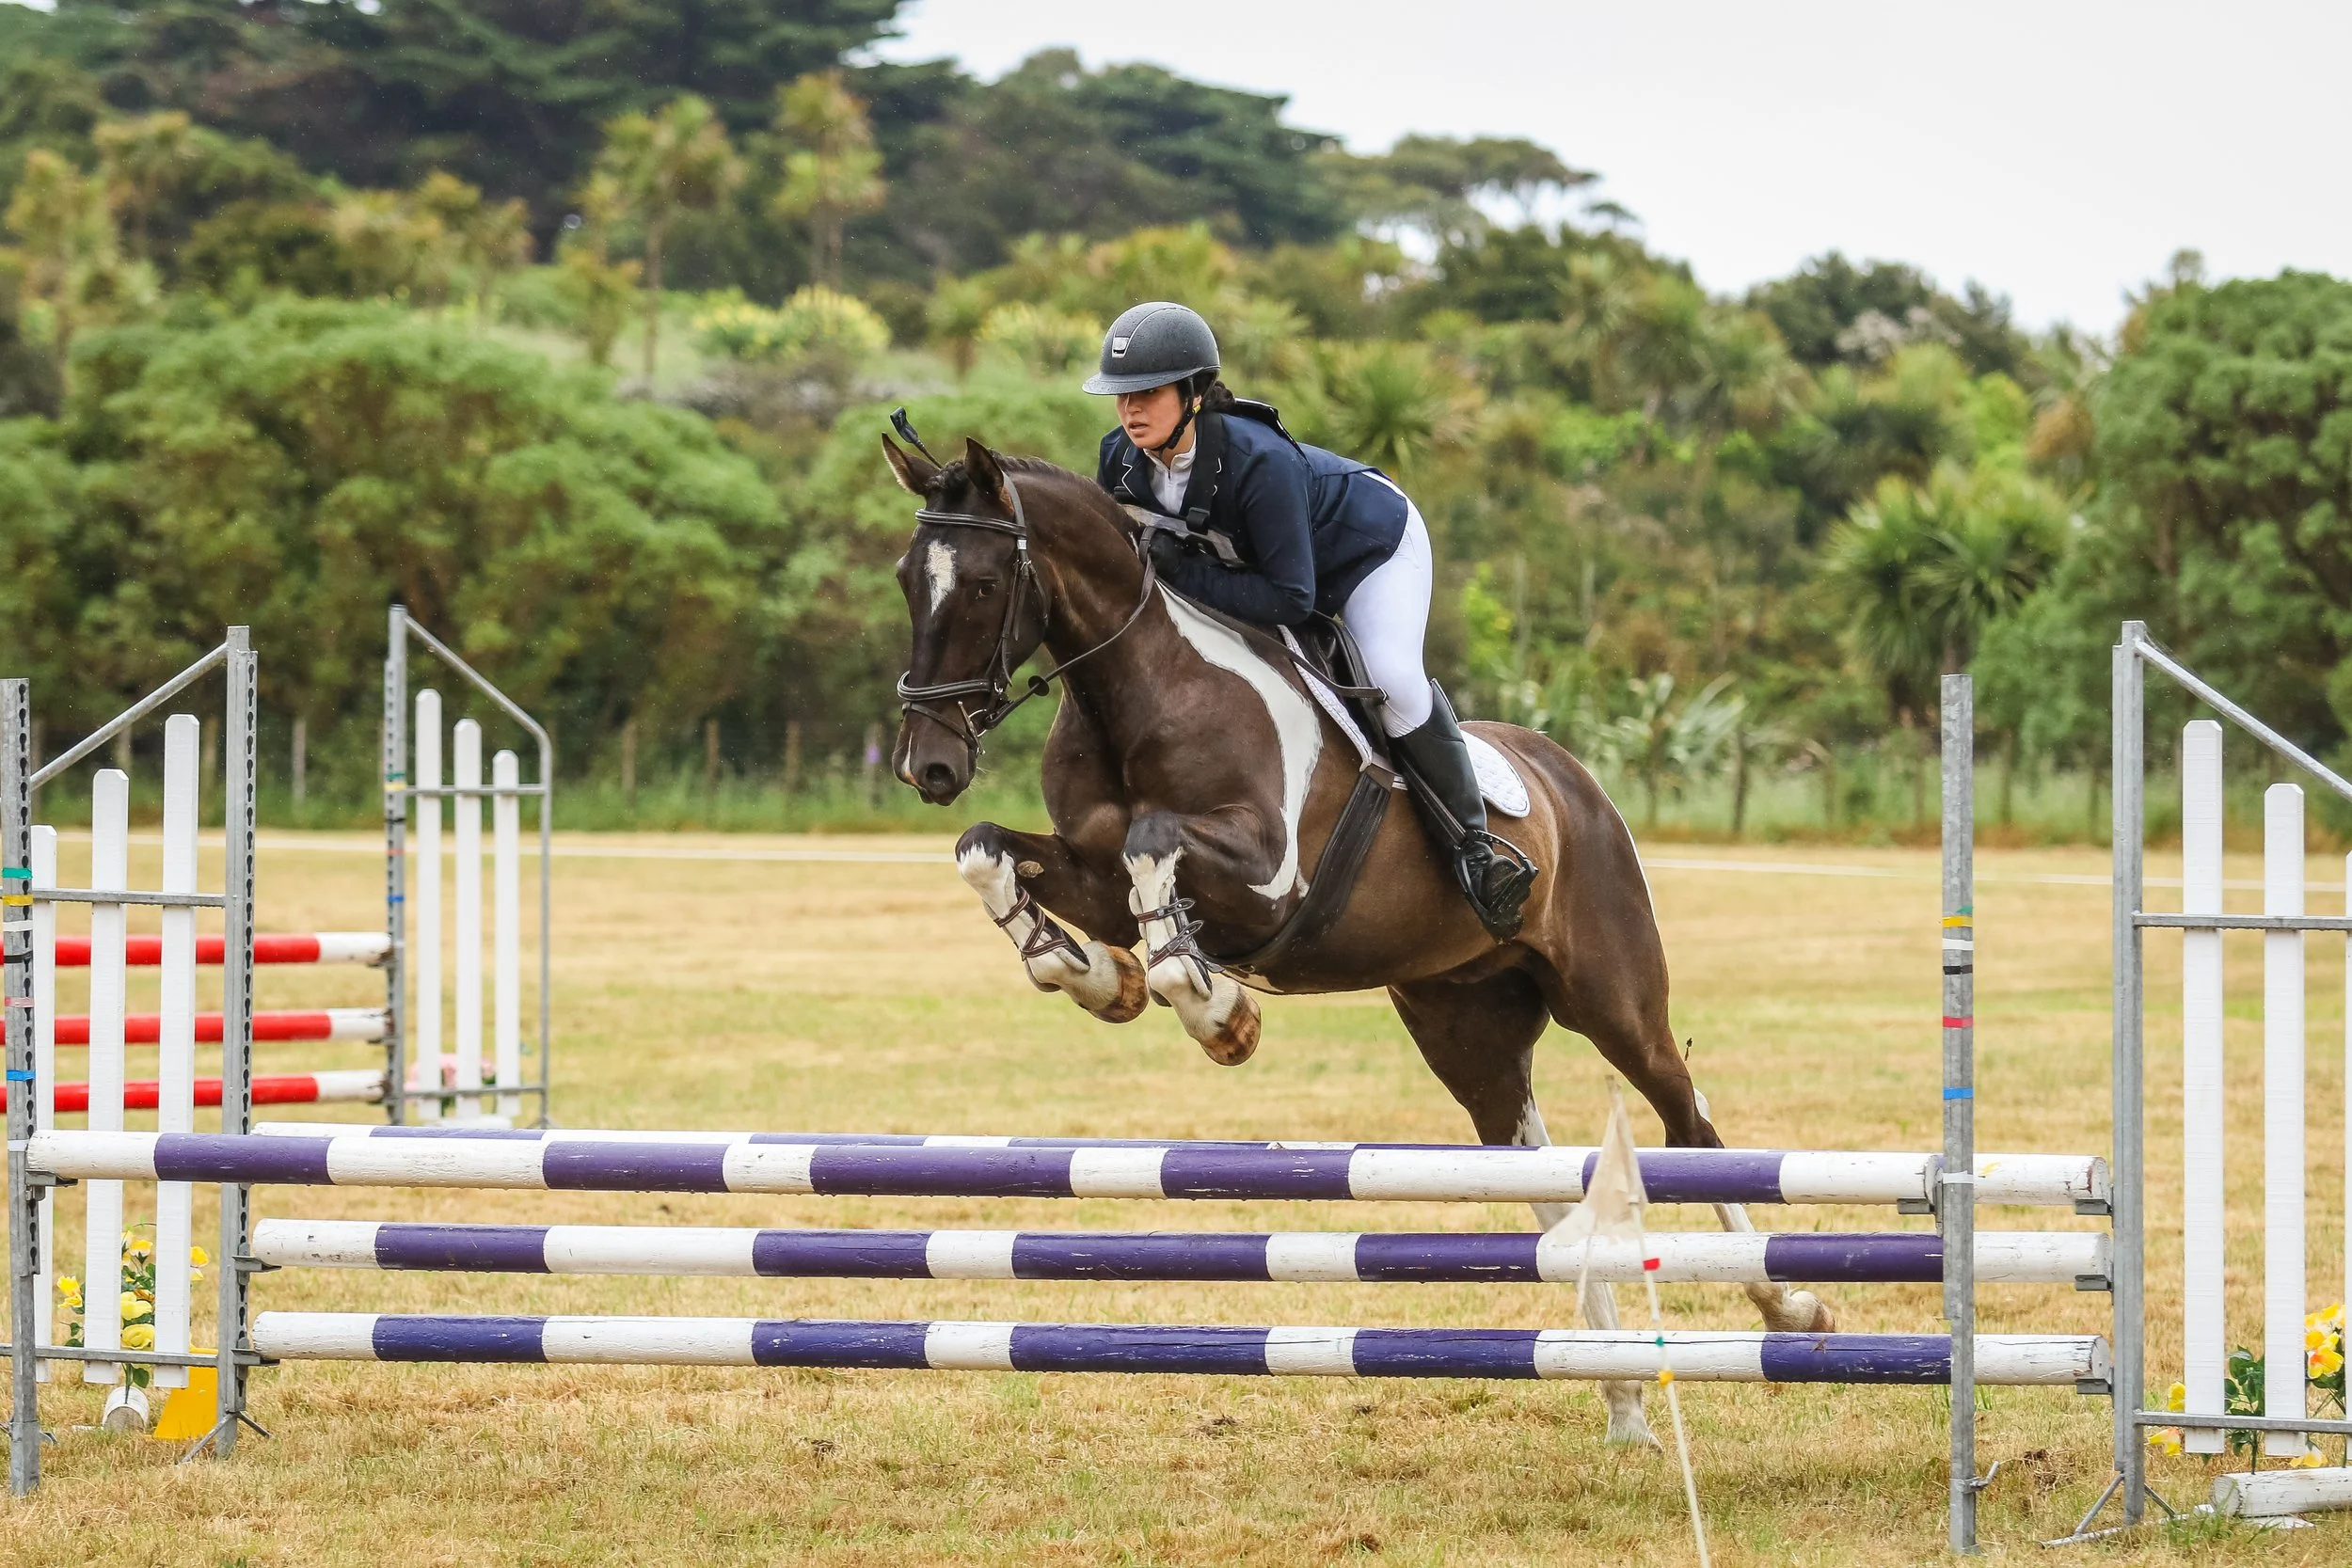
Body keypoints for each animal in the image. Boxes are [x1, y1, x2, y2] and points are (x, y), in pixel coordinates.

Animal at [884, 435, 1835, 1446]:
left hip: (1613, 998)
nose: (927, 763)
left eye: (985, 583)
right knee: (1542, 1176)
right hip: (1467, 1028)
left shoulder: (1268, 876)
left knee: (1689, 1121)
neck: (1139, 690)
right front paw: (1095, 973)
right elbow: (987, 849)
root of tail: (1573, 776)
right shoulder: (1094, 877)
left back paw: (1791, 1310)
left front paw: (1218, 1012)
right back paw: (1620, 1399)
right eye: (908, 577)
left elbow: (1155, 846)